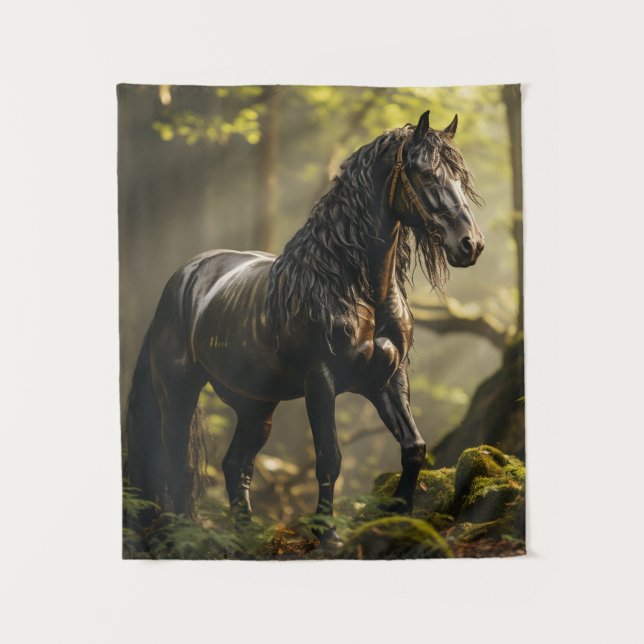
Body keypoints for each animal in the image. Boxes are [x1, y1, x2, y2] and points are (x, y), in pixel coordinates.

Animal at [124, 109, 484, 547]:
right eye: (428, 174)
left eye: (461, 178)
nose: (470, 245)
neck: (351, 284)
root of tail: (182, 279)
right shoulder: (322, 381)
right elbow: (330, 458)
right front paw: (328, 535)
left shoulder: (388, 378)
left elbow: (414, 447)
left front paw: (398, 521)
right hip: (179, 392)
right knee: (176, 465)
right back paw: (184, 539)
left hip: (256, 405)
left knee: (235, 465)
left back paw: (246, 539)